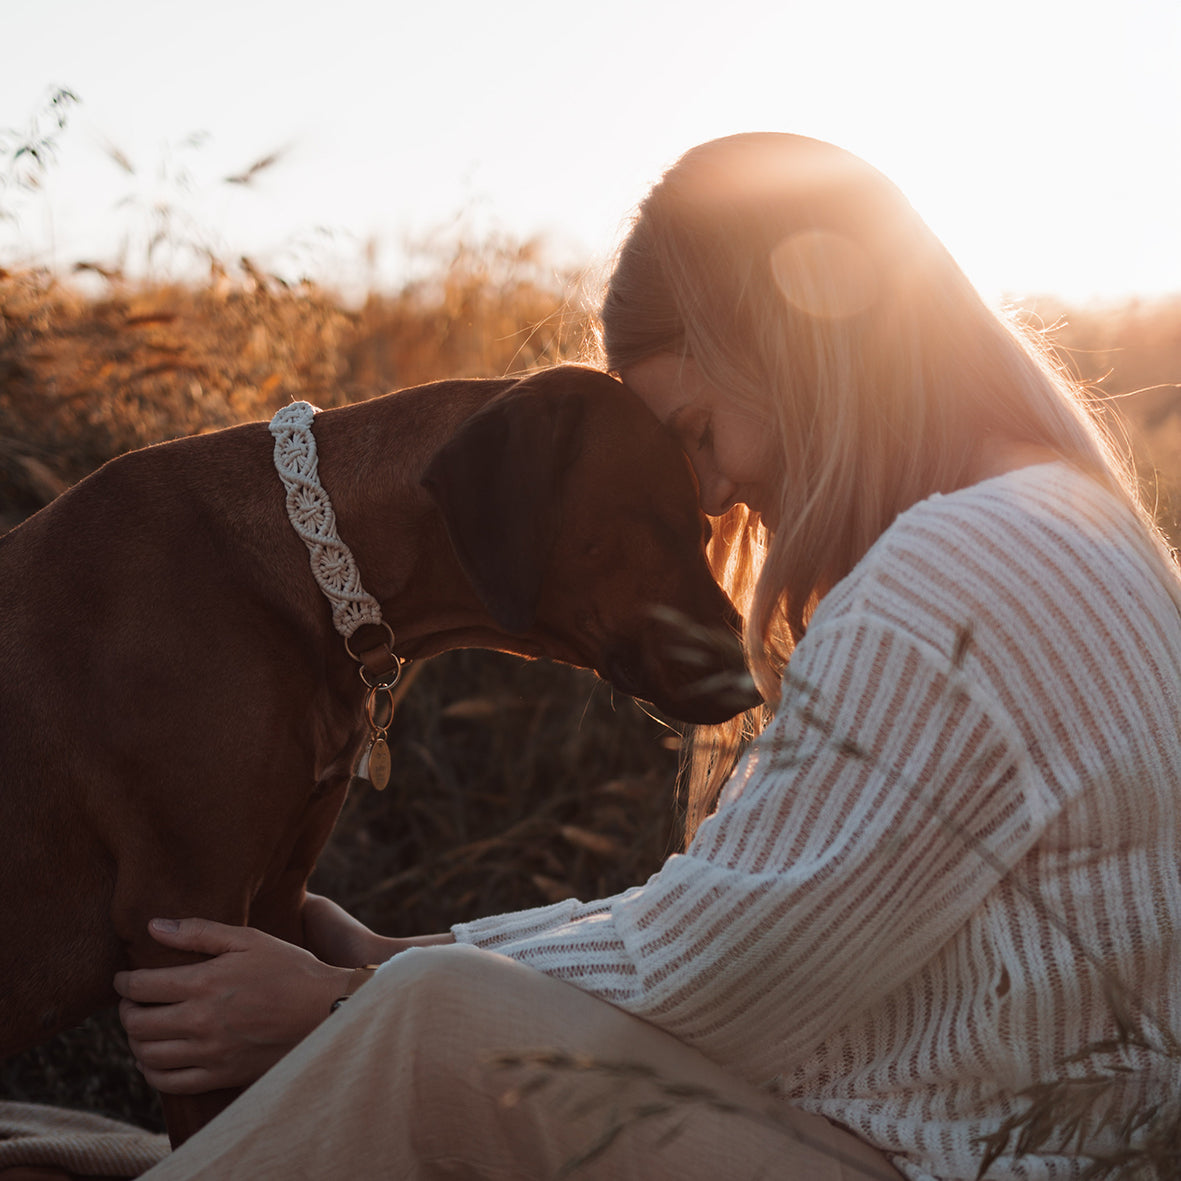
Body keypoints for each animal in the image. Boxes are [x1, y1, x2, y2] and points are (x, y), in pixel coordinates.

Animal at [0, 366, 755, 1143]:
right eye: (659, 519)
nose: (752, 681)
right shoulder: (179, 916)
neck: (314, 563)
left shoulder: (272, 896)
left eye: (703, 528)